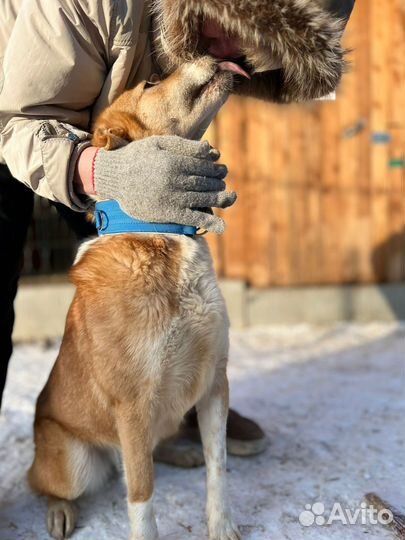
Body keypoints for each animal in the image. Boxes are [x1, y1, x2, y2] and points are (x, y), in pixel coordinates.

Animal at [28, 56, 245, 540]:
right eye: (150, 81)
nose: (210, 53)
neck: (162, 236)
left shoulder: (214, 383)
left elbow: (218, 468)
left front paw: (221, 524)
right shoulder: (132, 406)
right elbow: (142, 495)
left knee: (151, 451)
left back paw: (180, 453)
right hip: (75, 463)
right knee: (48, 483)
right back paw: (58, 511)